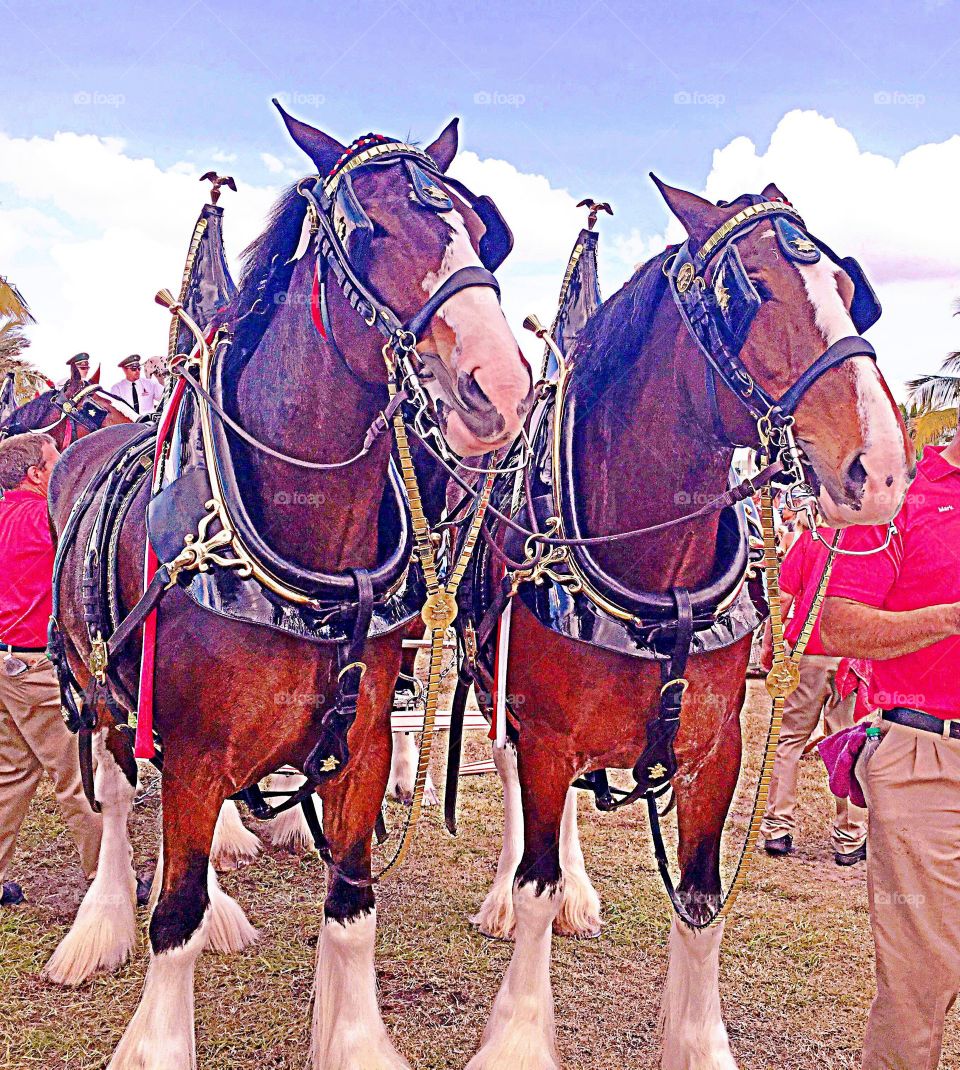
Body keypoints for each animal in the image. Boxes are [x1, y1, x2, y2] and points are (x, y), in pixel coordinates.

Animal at [45, 107, 532, 1069]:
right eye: (366, 228)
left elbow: (351, 903)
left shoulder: (362, 741)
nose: (500, 386)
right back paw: (103, 922)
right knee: (118, 798)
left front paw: (351, 1037)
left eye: (479, 230)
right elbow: (175, 913)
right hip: (103, 687)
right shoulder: (196, 747)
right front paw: (157, 1038)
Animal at [454, 179, 913, 1069]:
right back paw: (499, 896)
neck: (654, 576)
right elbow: (534, 882)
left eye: (850, 291)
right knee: (513, 791)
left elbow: (700, 903)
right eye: (751, 290)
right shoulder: (546, 732)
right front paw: (518, 1031)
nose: (878, 470)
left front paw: (695, 1042)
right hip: (498, 695)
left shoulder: (714, 746)